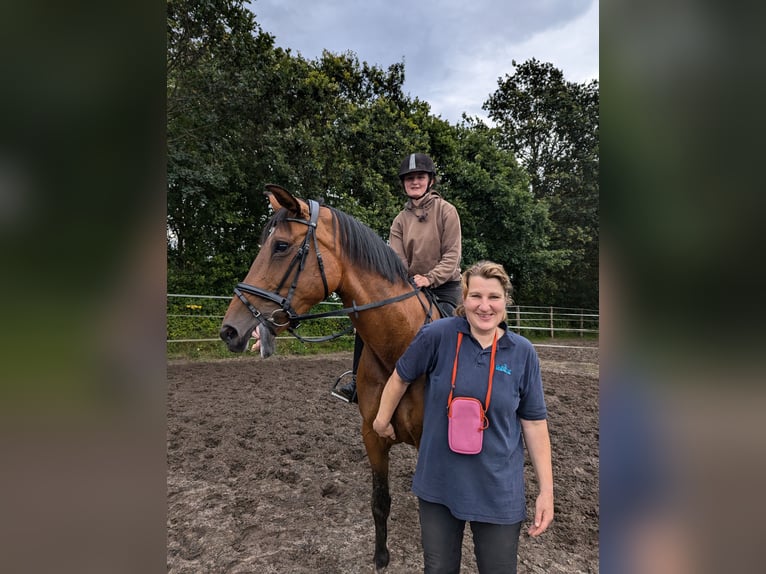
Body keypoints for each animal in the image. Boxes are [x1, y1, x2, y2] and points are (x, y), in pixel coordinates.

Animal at [218, 183, 444, 572]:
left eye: (280, 246)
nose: (230, 330)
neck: (402, 349)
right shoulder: (373, 436)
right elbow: (380, 502)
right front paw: (381, 557)